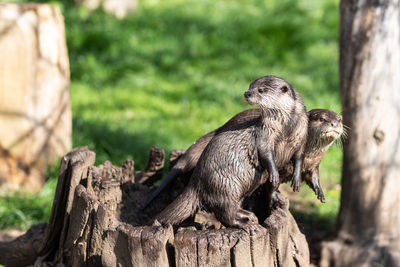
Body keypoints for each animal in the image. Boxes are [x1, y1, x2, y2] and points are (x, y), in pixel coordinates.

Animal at [144, 109, 344, 207]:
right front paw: (274, 197)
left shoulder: (313, 165)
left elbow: (313, 177)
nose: (335, 124)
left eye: (340, 119)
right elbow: (272, 180)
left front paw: (320, 193)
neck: (309, 155)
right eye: (322, 119)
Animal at [152, 75, 308, 230]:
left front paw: (296, 179)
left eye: (261, 90)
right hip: (225, 185)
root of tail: (195, 183)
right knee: (225, 214)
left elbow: (299, 156)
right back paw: (245, 223)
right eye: (250, 86)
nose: (247, 93)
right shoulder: (265, 133)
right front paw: (274, 174)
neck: (287, 130)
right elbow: (266, 153)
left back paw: (249, 214)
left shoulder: (302, 136)